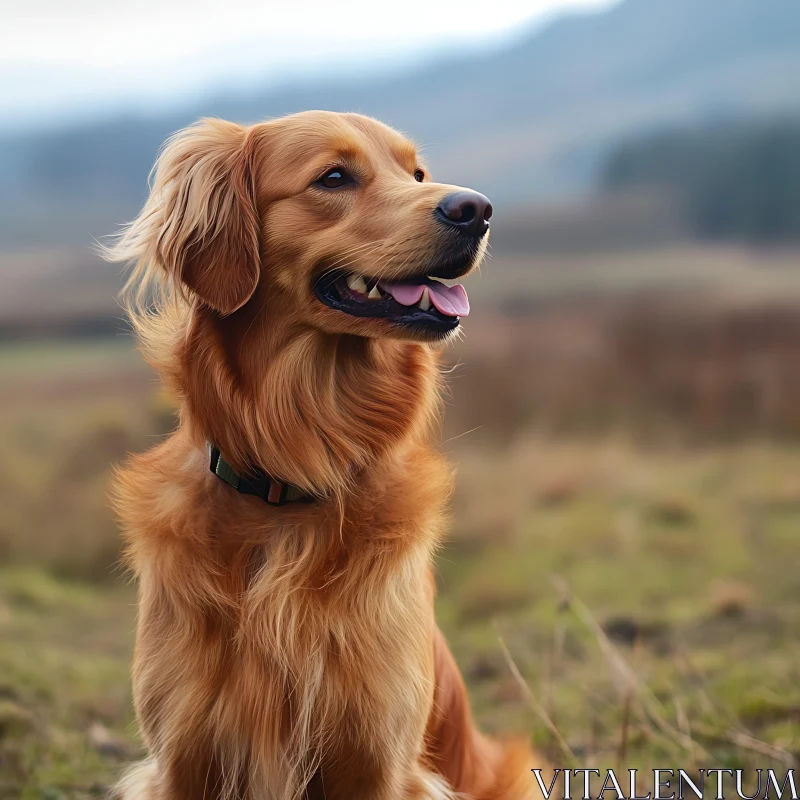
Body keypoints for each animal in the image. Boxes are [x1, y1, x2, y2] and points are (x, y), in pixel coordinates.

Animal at [104, 111, 544, 800]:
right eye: (334, 178)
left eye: (417, 173)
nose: (476, 209)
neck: (294, 477)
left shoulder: (378, 756)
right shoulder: (183, 755)